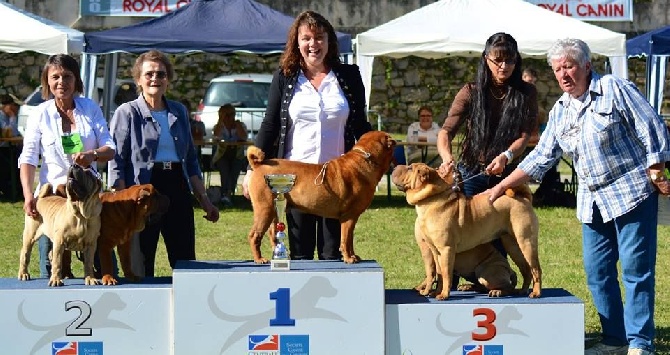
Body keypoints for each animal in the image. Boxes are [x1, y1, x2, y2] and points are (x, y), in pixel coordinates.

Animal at [247, 131, 396, 264]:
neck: (366, 159)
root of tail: (258, 164)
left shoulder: (352, 218)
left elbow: (350, 239)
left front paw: (354, 256)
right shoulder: (349, 216)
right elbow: (346, 239)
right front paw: (349, 258)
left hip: (273, 210)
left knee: (272, 233)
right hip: (265, 208)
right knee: (254, 235)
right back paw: (259, 259)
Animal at [392, 164, 544, 300]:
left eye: (410, 168)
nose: (394, 167)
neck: (431, 199)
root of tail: (523, 197)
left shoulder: (446, 249)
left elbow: (445, 274)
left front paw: (443, 295)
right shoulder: (435, 251)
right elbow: (439, 274)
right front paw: (436, 293)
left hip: (524, 243)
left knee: (534, 269)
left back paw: (528, 293)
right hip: (512, 245)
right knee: (526, 270)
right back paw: (521, 290)